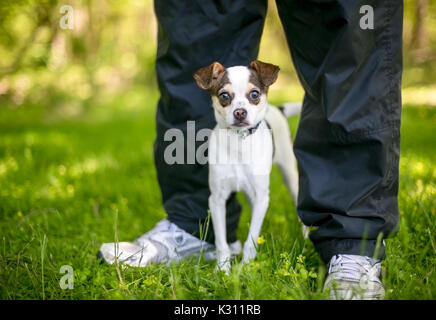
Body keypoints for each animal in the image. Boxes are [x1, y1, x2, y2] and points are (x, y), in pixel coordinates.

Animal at [194, 59, 306, 272]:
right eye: (224, 96)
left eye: (254, 94)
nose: (240, 112)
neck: (239, 142)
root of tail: (278, 110)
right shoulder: (217, 200)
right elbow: (221, 242)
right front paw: (223, 270)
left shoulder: (262, 197)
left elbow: (252, 238)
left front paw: (246, 267)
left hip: (290, 176)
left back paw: (306, 237)